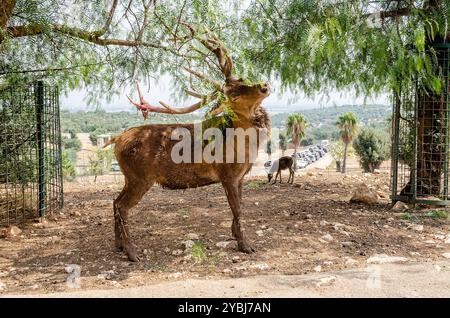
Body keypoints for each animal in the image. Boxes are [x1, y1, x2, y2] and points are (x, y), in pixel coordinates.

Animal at [105, 26, 270, 260]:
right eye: (235, 95)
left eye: (243, 79)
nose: (263, 85)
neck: (246, 148)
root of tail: (117, 139)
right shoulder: (227, 173)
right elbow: (237, 209)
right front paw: (245, 245)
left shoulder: (241, 176)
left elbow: (240, 207)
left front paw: (234, 234)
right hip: (141, 177)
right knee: (122, 206)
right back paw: (132, 253)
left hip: (129, 177)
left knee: (115, 201)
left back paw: (118, 245)